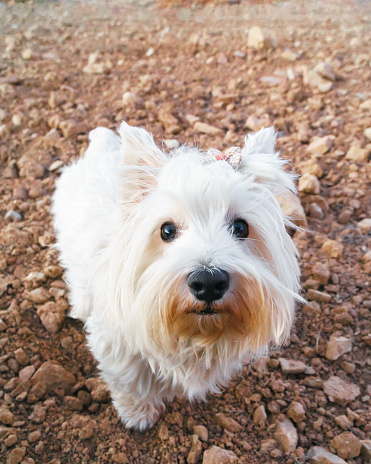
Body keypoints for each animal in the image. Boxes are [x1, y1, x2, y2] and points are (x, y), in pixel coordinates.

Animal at [51, 121, 302, 430]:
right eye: (167, 230)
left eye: (241, 227)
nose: (208, 283)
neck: (194, 335)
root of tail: (100, 144)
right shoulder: (117, 343)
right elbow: (130, 380)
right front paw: (138, 415)